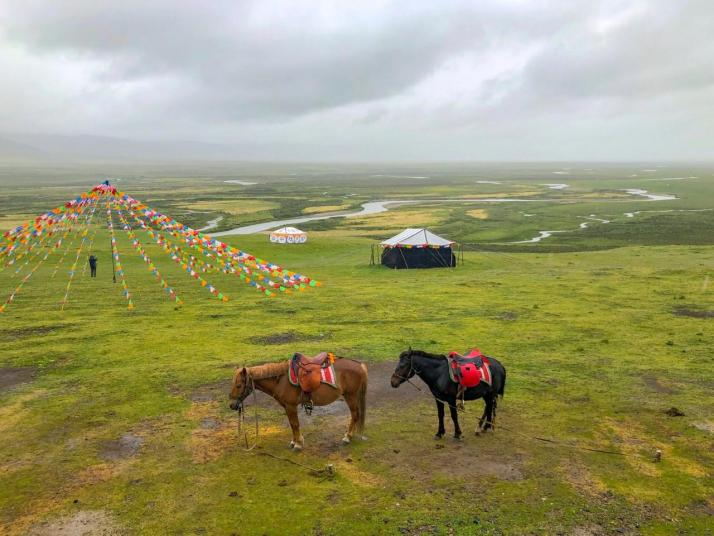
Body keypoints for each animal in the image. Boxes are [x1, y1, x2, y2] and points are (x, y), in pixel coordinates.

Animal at [228, 358, 368, 450]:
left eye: (239, 385)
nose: (231, 405)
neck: (281, 380)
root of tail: (360, 365)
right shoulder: (287, 406)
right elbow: (292, 424)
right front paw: (294, 441)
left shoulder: (291, 406)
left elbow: (295, 424)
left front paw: (298, 444)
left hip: (350, 396)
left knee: (355, 415)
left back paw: (348, 437)